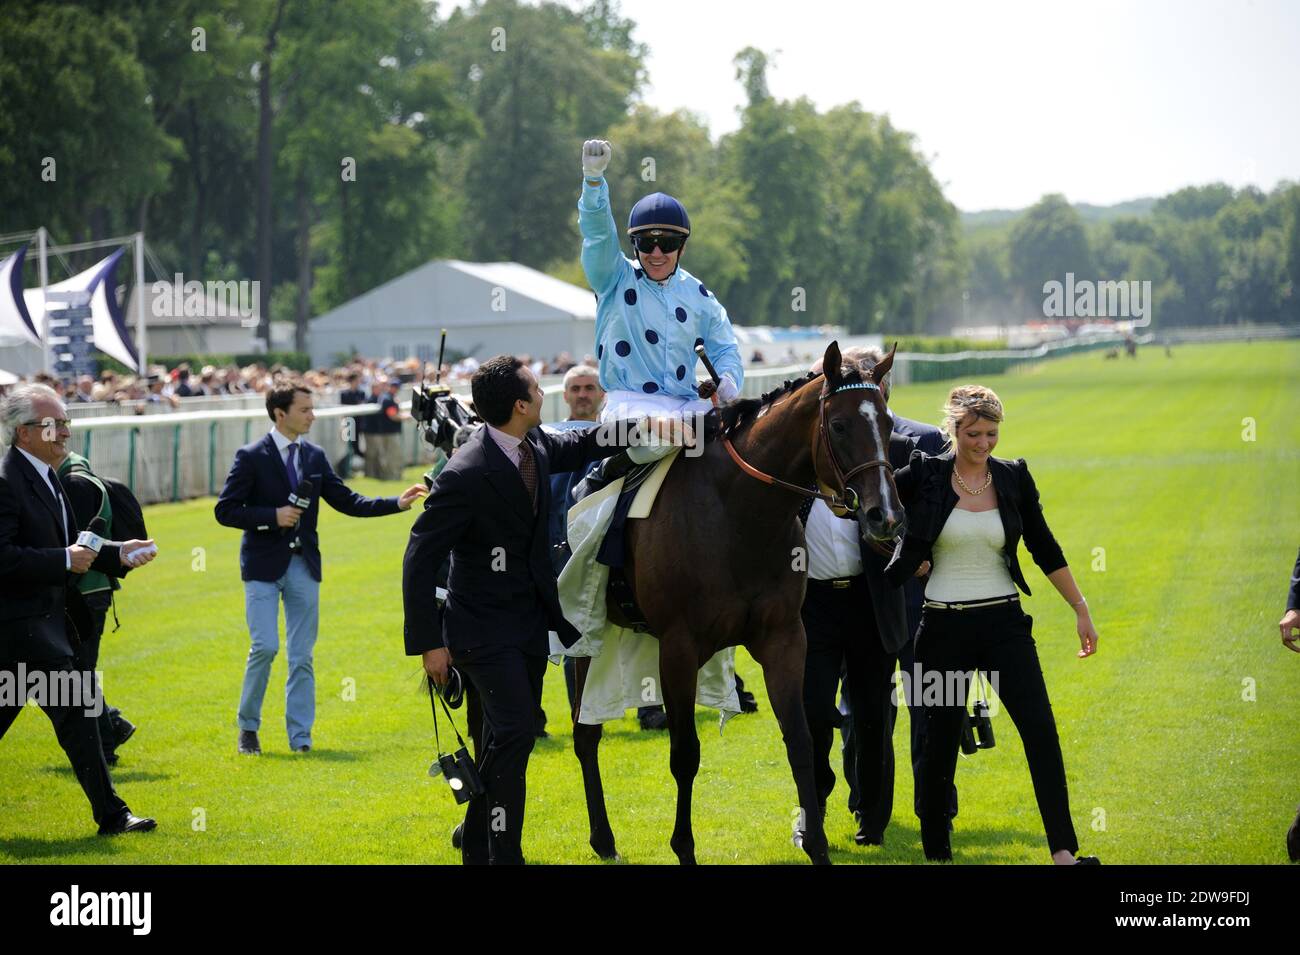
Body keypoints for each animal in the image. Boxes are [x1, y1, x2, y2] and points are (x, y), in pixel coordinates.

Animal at [574, 343, 909, 867]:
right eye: (838, 426)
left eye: (890, 422)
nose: (886, 516)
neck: (739, 515)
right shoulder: (679, 646)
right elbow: (685, 754)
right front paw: (684, 848)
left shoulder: (785, 637)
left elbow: (801, 739)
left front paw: (815, 844)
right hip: (579, 635)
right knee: (586, 737)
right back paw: (603, 838)